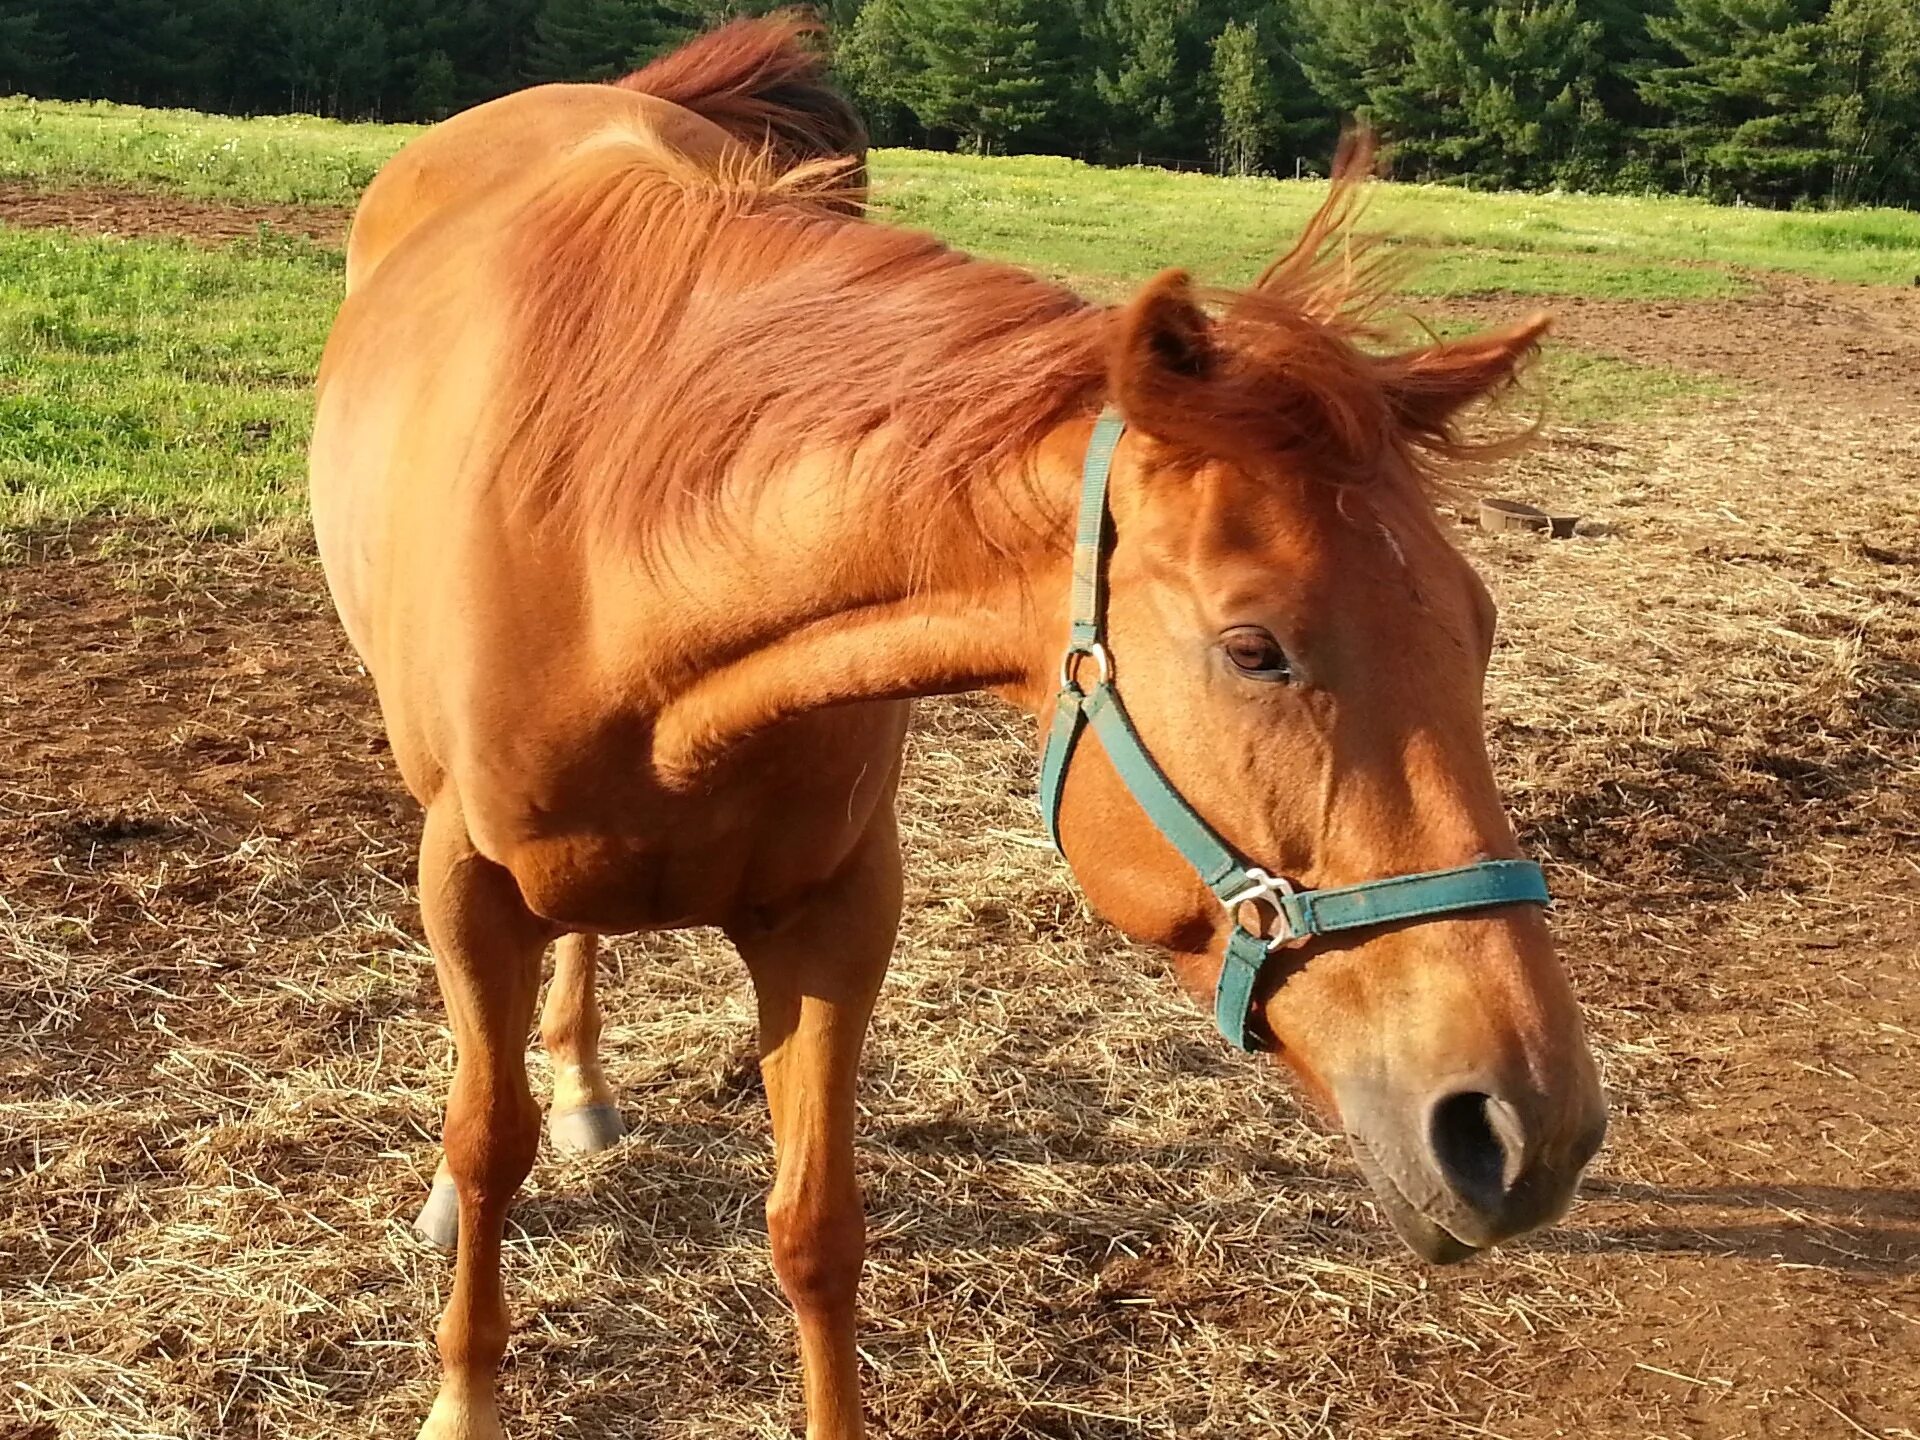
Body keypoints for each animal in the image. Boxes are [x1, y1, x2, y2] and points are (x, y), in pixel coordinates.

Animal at [311, 36, 1605, 1440]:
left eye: (1478, 628)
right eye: (1256, 647)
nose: (1528, 1128)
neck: (610, 550)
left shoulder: (833, 912)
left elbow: (815, 1227)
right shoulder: (469, 885)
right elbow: (489, 1147)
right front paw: (461, 1382)